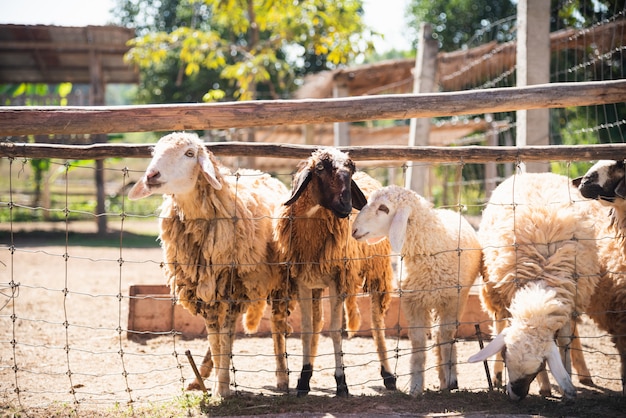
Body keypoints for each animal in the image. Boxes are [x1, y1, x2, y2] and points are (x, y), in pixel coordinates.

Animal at [129, 132, 292, 396]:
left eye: (189, 153)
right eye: (154, 153)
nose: (151, 175)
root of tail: (260, 172)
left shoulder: (231, 284)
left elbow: (223, 334)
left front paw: (222, 388)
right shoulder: (203, 288)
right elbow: (215, 334)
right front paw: (217, 380)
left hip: (278, 279)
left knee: (277, 325)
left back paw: (281, 377)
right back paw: (202, 376)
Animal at [274, 148, 394, 398]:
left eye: (351, 171)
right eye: (319, 168)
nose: (346, 207)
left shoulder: (337, 280)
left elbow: (336, 331)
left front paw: (341, 383)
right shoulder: (302, 281)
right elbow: (308, 330)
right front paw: (303, 380)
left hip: (378, 270)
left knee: (377, 322)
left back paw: (388, 375)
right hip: (317, 284)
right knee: (317, 322)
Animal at [352, 185, 482, 396]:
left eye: (384, 208)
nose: (354, 230)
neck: (430, 251)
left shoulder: (453, 300)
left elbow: (446, 336)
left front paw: (451, 378)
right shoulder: (413, 302)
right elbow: (419, 344)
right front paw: (415, 385)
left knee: (441, 334)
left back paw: (446, 378)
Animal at [470, 171, 604, 400]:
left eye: (541, 363)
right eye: (506, 355)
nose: (516, 395)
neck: (540, 286)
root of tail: (532, 172)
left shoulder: (569, 303)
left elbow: (565, 342)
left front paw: (566, 380)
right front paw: (545, 387)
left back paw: (584, 374)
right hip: (493, 290)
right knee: (499, 323)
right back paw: (496, 375)